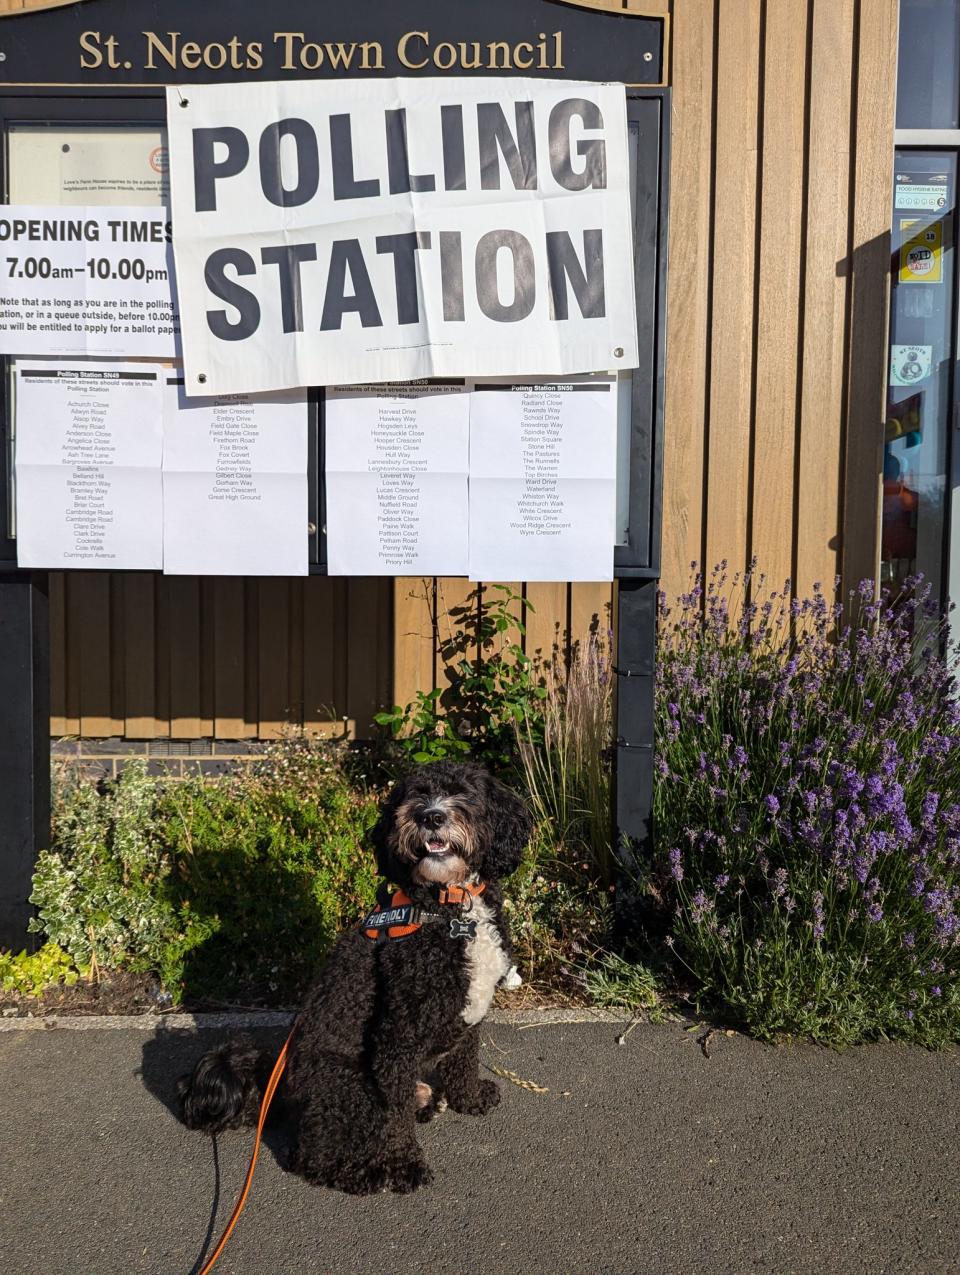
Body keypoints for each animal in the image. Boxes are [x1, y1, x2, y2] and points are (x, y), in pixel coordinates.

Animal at [175, 754, 527, 1193]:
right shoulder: (397, 1034)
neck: (449, 907)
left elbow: (464, 1059)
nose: (430, 816)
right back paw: (369, 1174)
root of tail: (281, 1087)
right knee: (312, 1157)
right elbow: (395, 1118)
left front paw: (471, 1098)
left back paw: (425, 1100)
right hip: (351, 1088)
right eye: (414, 795)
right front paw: (403, 1164)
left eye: (462, 791)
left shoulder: (467, 1017)